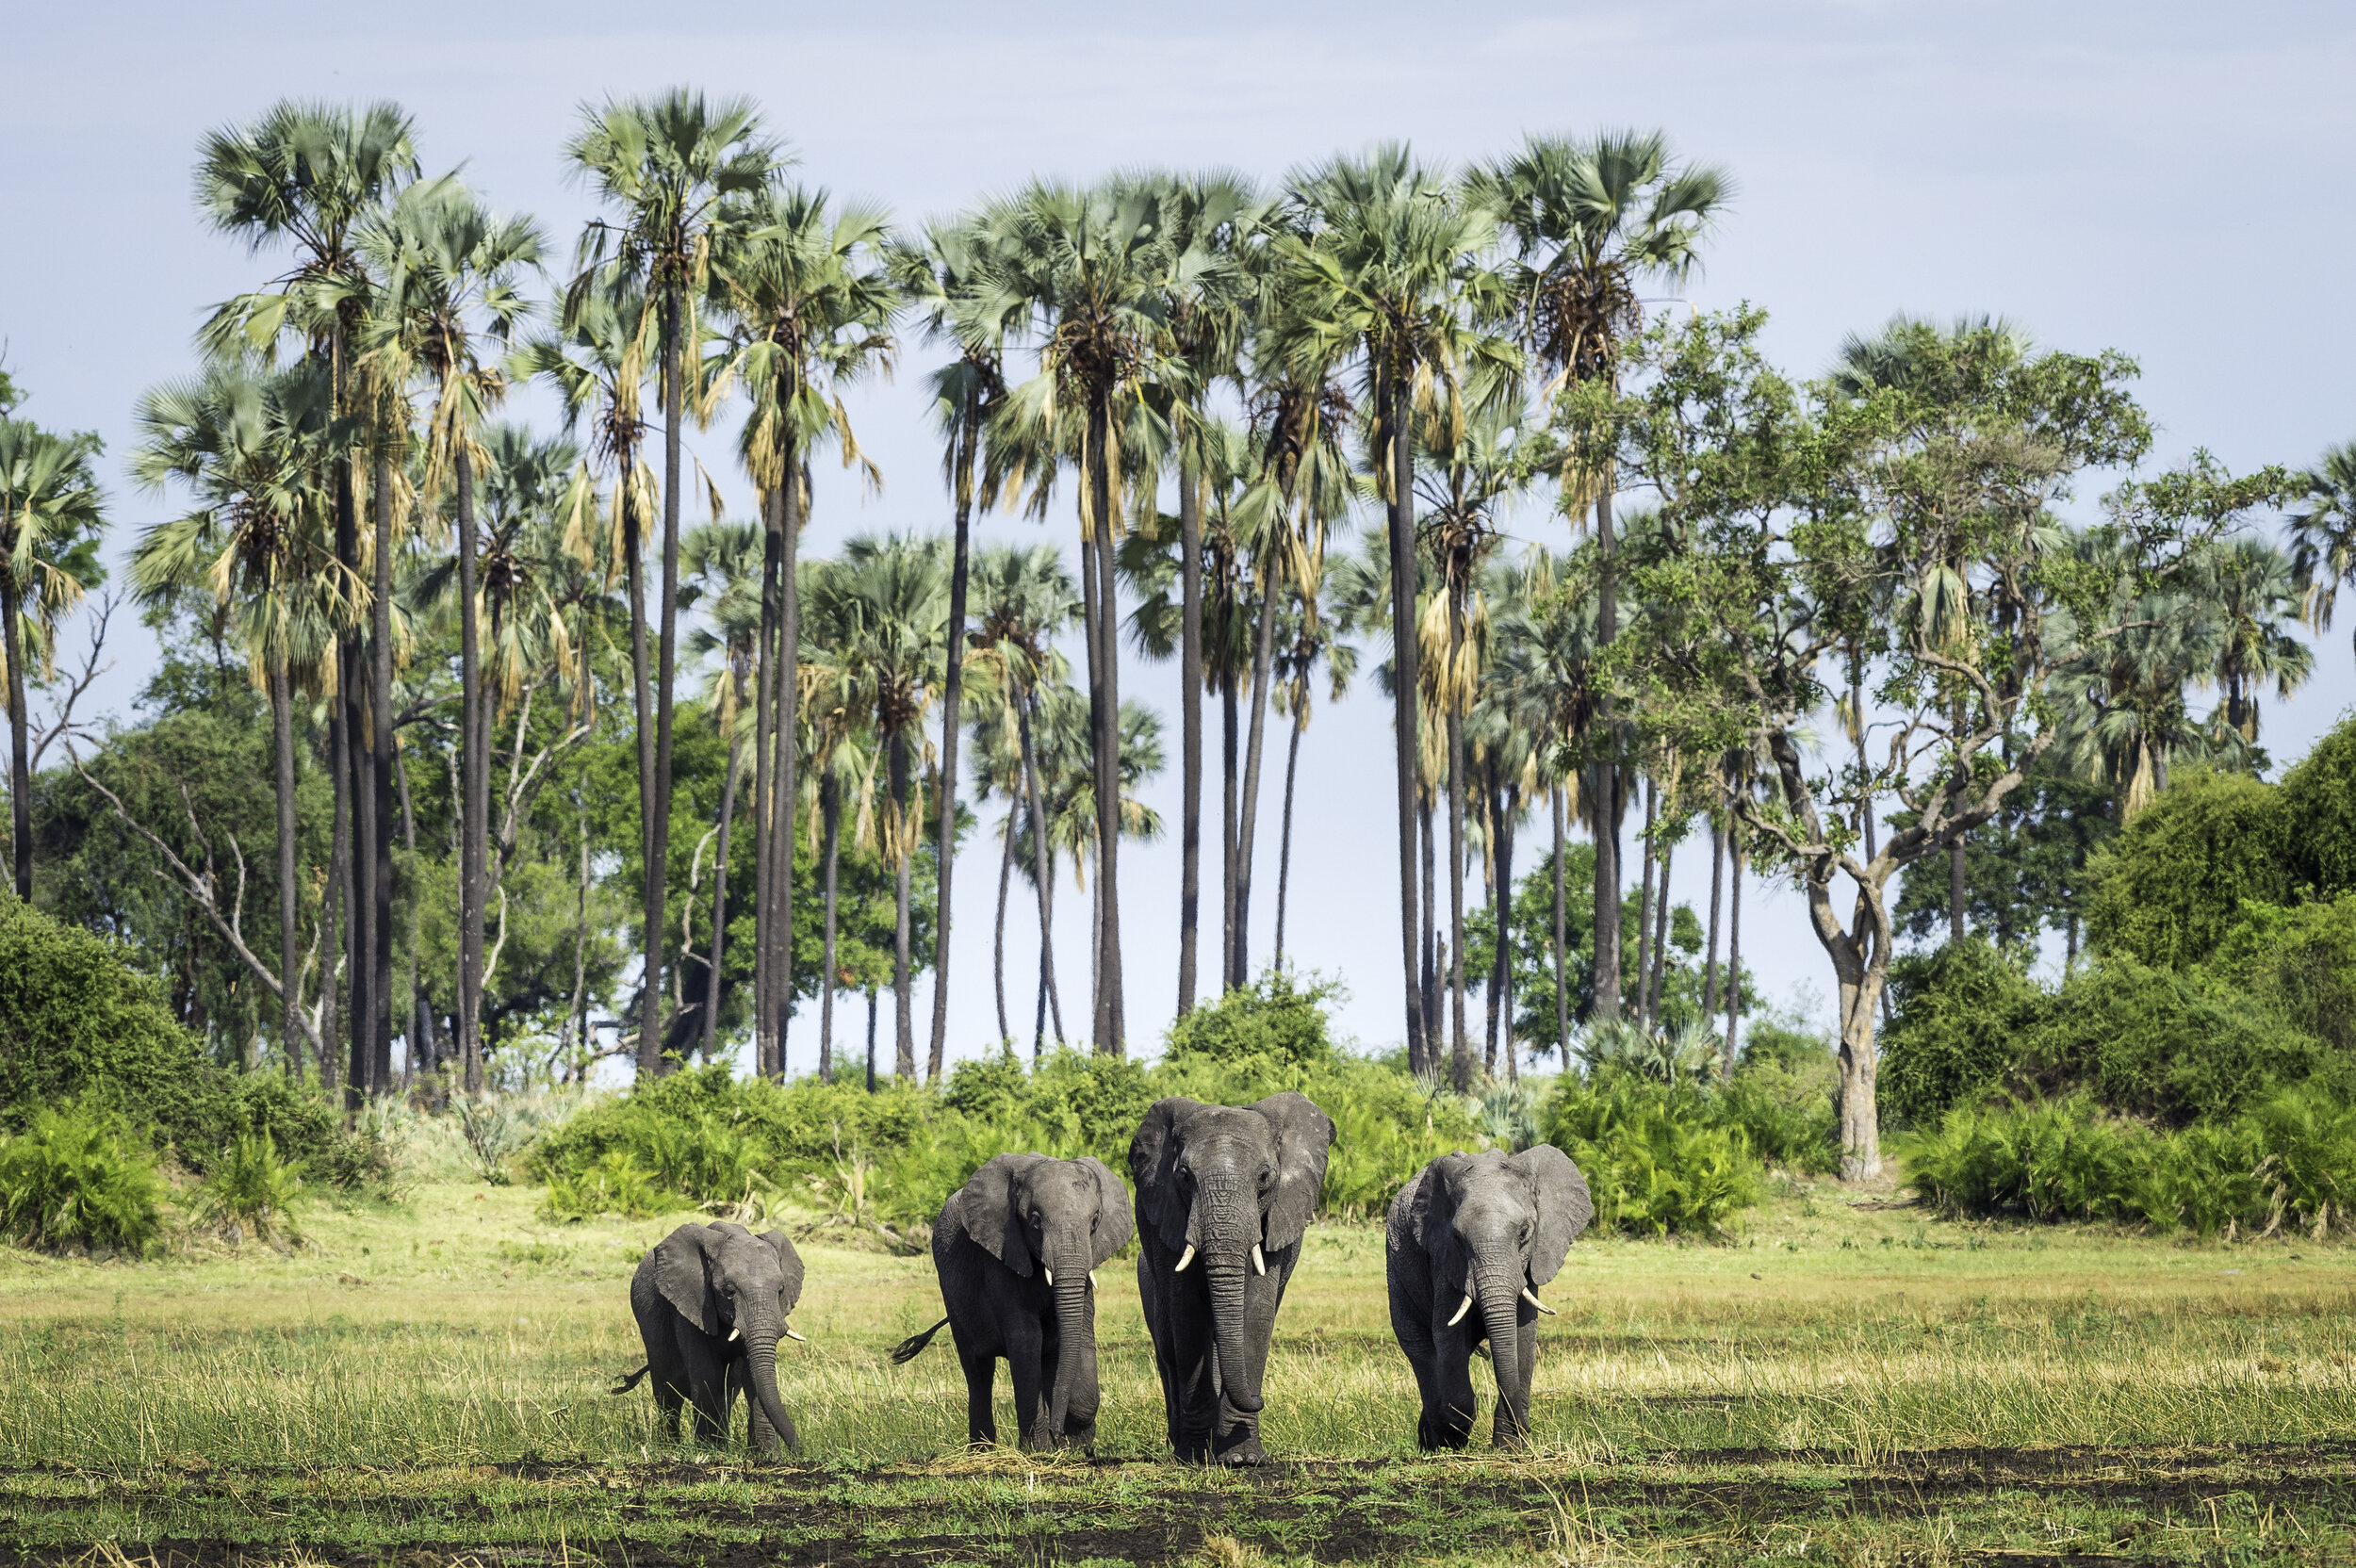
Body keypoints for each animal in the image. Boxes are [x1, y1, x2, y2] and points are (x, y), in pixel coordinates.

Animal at [617, 1215, 810, 1460]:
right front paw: (709, 1453)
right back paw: (670, 1448)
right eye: (728, 1291)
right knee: (667, 1390)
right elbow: (707, 1373)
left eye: (780, 1290)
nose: (800, 1452)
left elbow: (752, 1377)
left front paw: (767, 1457)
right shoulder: (692, 1303)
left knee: (728, 1391)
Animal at [886, 1144, 1136, 1450]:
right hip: (953, 1297)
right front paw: (1039, 1451)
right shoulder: (1001, 1252)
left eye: (1095, 1221)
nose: (1057, 1433)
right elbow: (1026, 1339)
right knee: (979, 1371)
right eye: (1036, 1221)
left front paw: (1075, 1446)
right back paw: (983, 1451)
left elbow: (1080, 1334)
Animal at [1131, 1092, 1338, 1460]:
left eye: (1264, 1178)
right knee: (1168, 1347)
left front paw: (1243, 1457)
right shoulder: (1168, 1219)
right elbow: (1188, 1313)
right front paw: (1195, 1456)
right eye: (1184, 1177)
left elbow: (1255, 1312)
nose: (1260, 1399)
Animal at [1385, 1144, 1593, 1450]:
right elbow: (1447, 1333)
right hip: (1396, 1268)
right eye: (1457, 1238)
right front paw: (1454, 1436)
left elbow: (1523, 1335)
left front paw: (1509, 1449)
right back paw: (1434, 1442)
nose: (1527, 1428)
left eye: (1524, 1232)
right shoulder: (1444, 1259)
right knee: (1420, 1348)